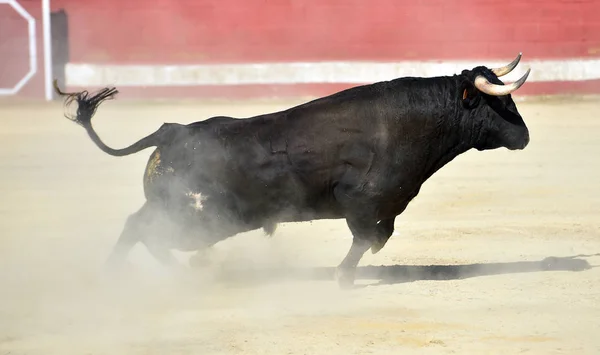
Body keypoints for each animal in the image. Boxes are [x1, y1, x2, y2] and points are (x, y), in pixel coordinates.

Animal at [56, 55, 532, 290]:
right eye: (499, 103)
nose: (524, 136)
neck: (413, 123)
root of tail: (171, 132)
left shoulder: (388, 204)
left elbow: (380, 236)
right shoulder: (359, 202)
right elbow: (365, 239)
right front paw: (343, 278)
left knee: (137, 227)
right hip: (198, 220)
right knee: (143, 230)